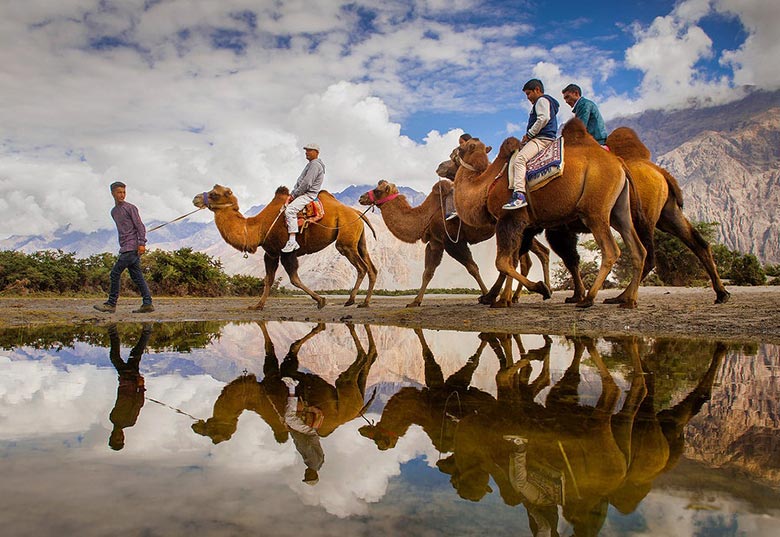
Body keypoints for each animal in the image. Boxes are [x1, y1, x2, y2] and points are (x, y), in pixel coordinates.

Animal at [194, 184, 378, 310]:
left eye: (214, 194)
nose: (195, 198)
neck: (258, 227)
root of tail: (357, 213)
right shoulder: (271, 253)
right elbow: (268, 279)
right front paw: (257, 305)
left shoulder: (287, 251)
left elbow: (294, 279)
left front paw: (321, 300)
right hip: (359, 239)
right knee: (372, 268)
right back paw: (364, 302)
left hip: (346, 240)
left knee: (361, 267)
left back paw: (351, 300)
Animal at [356, 179, 552, 306]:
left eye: (378, 190)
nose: (362, 197)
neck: (426, 214)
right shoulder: (436, 243)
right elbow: (427, 272)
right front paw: (415, 301)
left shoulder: (452, 241)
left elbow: (472, 267)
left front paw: (484, 294)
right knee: (531, 255)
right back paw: (519, 295)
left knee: (514, 259)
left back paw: (508, 297)